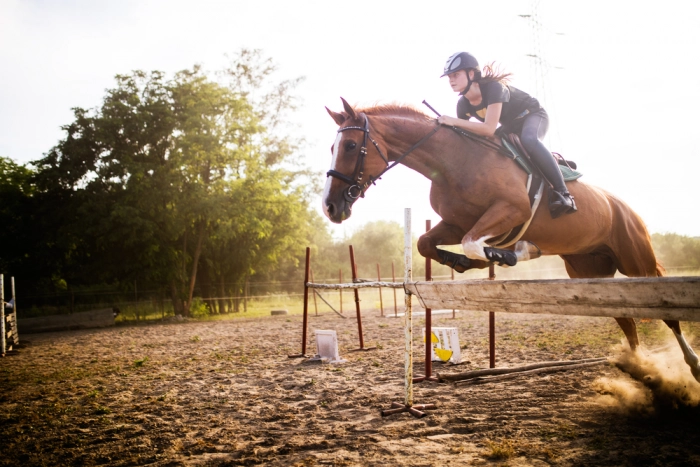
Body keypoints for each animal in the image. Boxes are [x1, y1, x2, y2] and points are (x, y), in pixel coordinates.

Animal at [322, 97, 700, 382]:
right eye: (333, 146)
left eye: (352, 145)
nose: (330, 206)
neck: (454, 161)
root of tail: (623, 205)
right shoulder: (456, 223)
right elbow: (428, 244)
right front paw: (464, 263)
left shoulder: (510, 209)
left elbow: (477, 243)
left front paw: (511, 253)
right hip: (588, 270)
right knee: (626, 318)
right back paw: (640, 368)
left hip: (636, 259)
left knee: (665, 313)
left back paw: (691, 366)